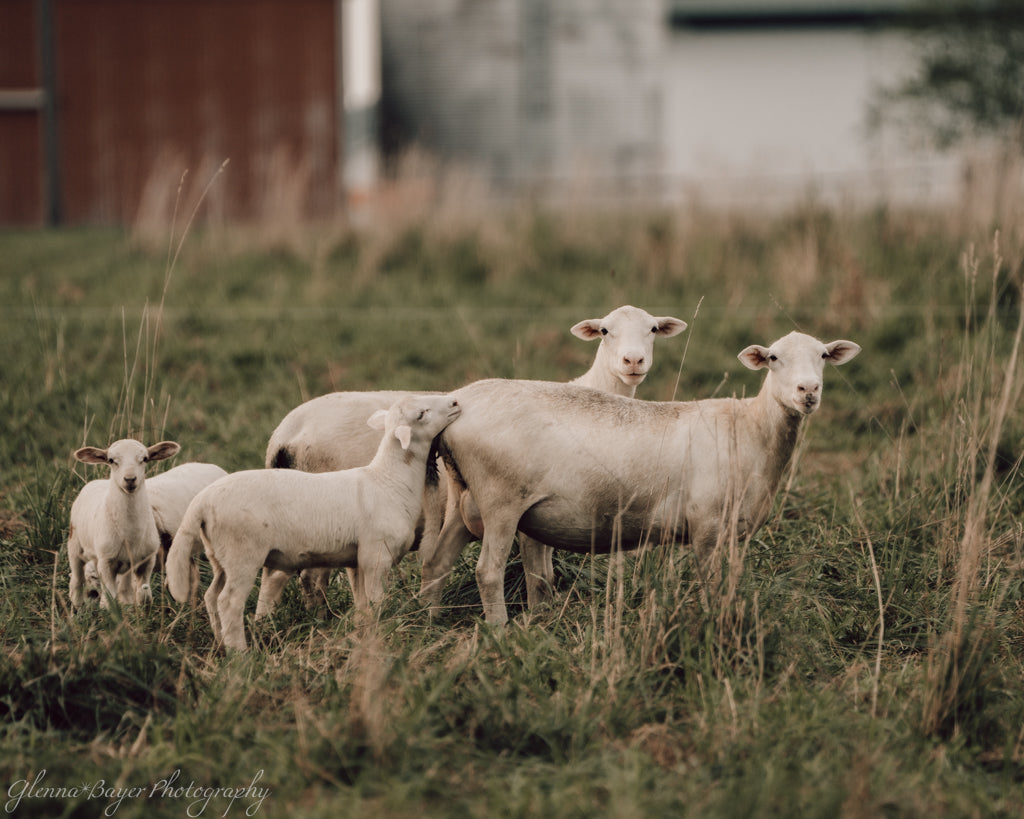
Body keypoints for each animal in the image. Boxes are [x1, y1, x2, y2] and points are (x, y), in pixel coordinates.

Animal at [67, 439, 227, 608]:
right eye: (111, 460)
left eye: (144, 458)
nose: (130, 479)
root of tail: (211, 466)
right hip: (75, 545)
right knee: (77, 579)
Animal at [165, 393, 462, 651]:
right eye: (421, 414)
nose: (455, 402)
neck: (388, 479)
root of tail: (202, 502)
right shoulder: (377, 555)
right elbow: (378, 600)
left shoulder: (359, 558)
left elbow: (363, 602)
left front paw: (363, 632)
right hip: (242, 554)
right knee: (229, 601)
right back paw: (239, 652)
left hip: (219, 556)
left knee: (212, 596)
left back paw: (220, 642)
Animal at [258, 305, 688, 616]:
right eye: (604, 332)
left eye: (652, 330)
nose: (633, 362)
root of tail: (283, 433)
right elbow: (539, 574)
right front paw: (540, 618)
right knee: (298, 578)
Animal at [422, 331, 861, 624]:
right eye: (772, 358)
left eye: (824, 355)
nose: (808, 390)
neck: (751, 429)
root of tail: (457, 403)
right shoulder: (706, 525)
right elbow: (712, 586)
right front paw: (713, 624)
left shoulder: (735, 534)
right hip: (501, 499)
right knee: (487, 572)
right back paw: (499, 631)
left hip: (464, 499)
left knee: (435, 564)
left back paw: (430, 620)